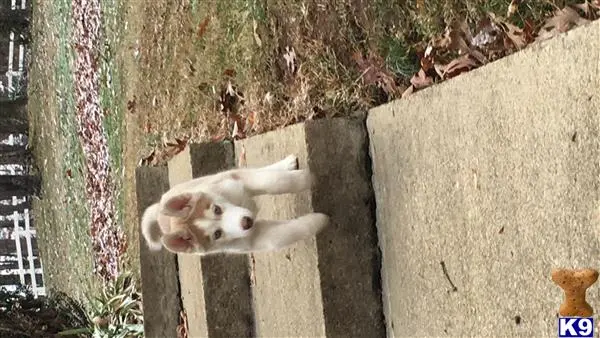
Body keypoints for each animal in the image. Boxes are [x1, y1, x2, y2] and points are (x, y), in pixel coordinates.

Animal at [141, 154, 328, 255]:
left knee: (260, 170)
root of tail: (159, 210)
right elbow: (284, 234)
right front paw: (320, 221)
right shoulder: (253, 239)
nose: (247, 222)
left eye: (217, 209)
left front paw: (306, 179)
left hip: (218, 177)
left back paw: (286, 164)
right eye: (217, 234)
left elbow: (275, 181)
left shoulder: (238, 181)